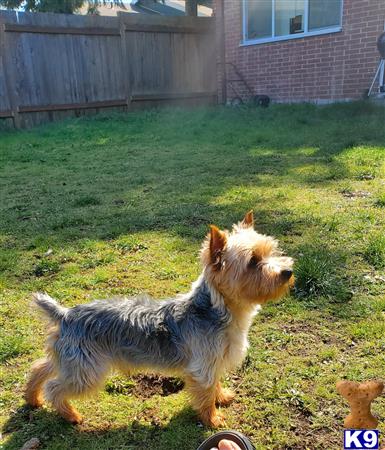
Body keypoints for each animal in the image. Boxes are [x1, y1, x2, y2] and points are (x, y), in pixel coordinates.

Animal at [24, 213, 294, 428]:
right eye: (253, 261)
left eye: (271, 251)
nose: (288, 272)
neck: (217, 311)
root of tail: (66, 314)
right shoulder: (203, 366)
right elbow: (206, 393)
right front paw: (213, 419)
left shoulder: (213, 362)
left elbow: (215, 385)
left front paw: (222, 396)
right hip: (87, 370)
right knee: (54, 387)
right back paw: (70, 415)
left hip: (72, 359)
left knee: (40, 367)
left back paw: (32, 398)